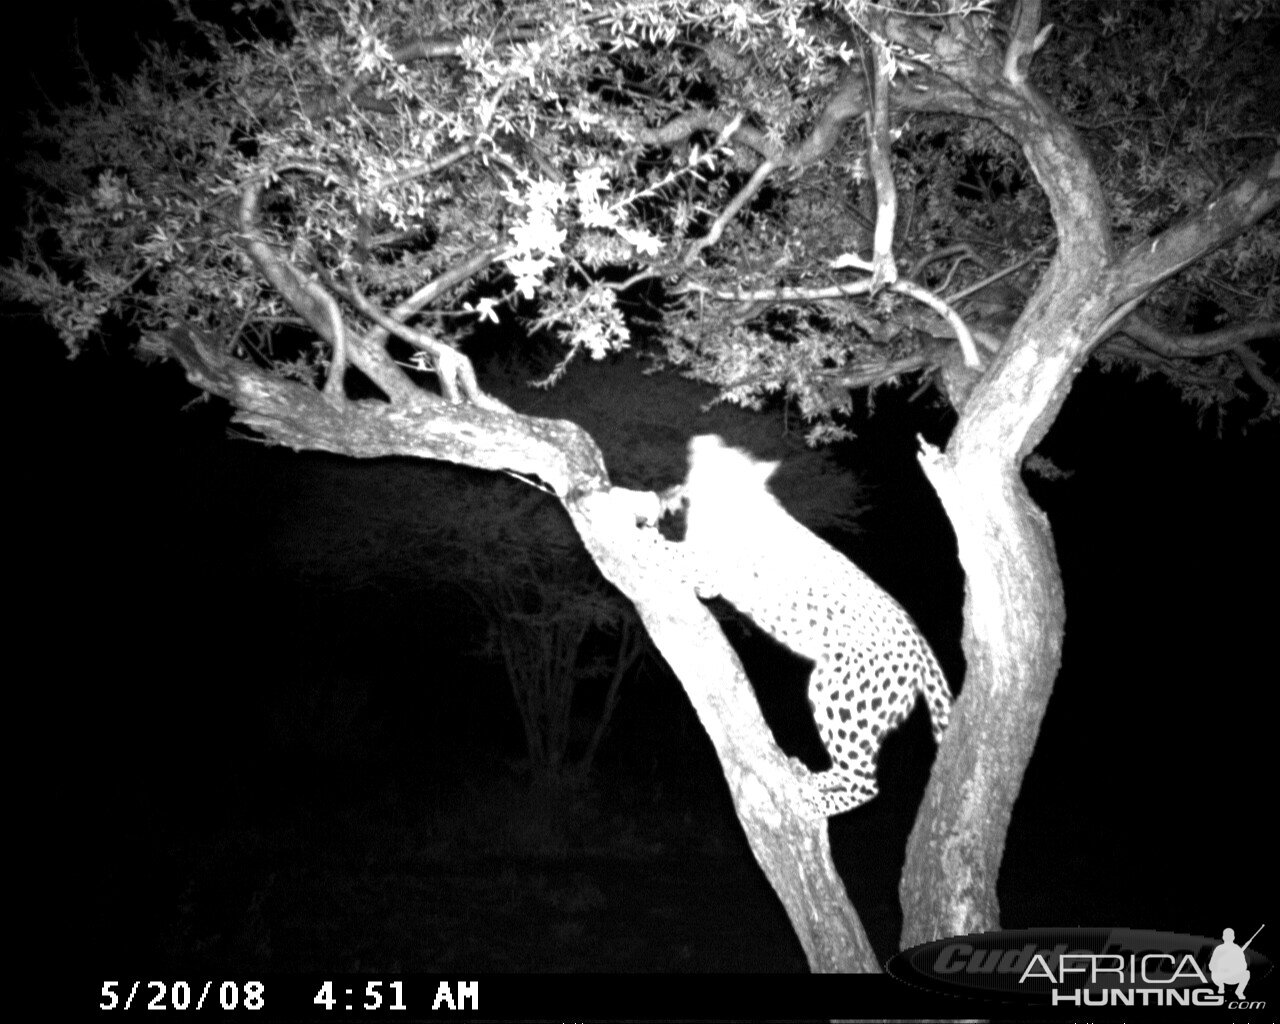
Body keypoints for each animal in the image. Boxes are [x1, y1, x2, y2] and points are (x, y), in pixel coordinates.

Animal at [680, 435, 952, 819]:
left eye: (727, 457)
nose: (705, 438)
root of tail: (921, 644)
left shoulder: (712, 566)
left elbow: (671, 552)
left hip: (838, 690)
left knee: (866, 782)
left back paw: (810, 803)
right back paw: (808, 777)